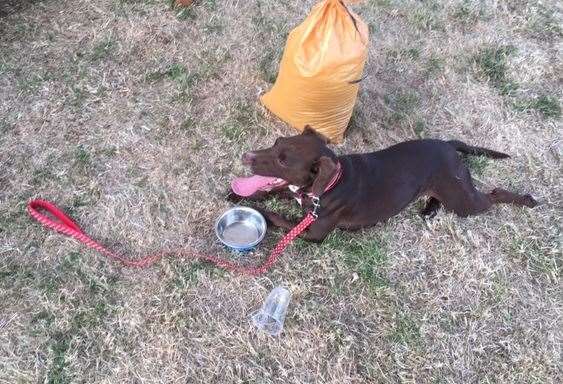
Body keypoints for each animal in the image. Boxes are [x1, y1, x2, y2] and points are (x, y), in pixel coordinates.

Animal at [231, 128, 540, 243]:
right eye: (276, 142)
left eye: (283, 161)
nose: (246, 156)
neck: (330, 183)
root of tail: (449, 145)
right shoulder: (299, 195)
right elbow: (273, 190)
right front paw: (237, 195)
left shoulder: (313, 232)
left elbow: (278, 217)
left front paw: (255, 210)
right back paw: (429, 209)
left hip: (463, 201)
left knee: (493, 195)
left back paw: (526, 199)